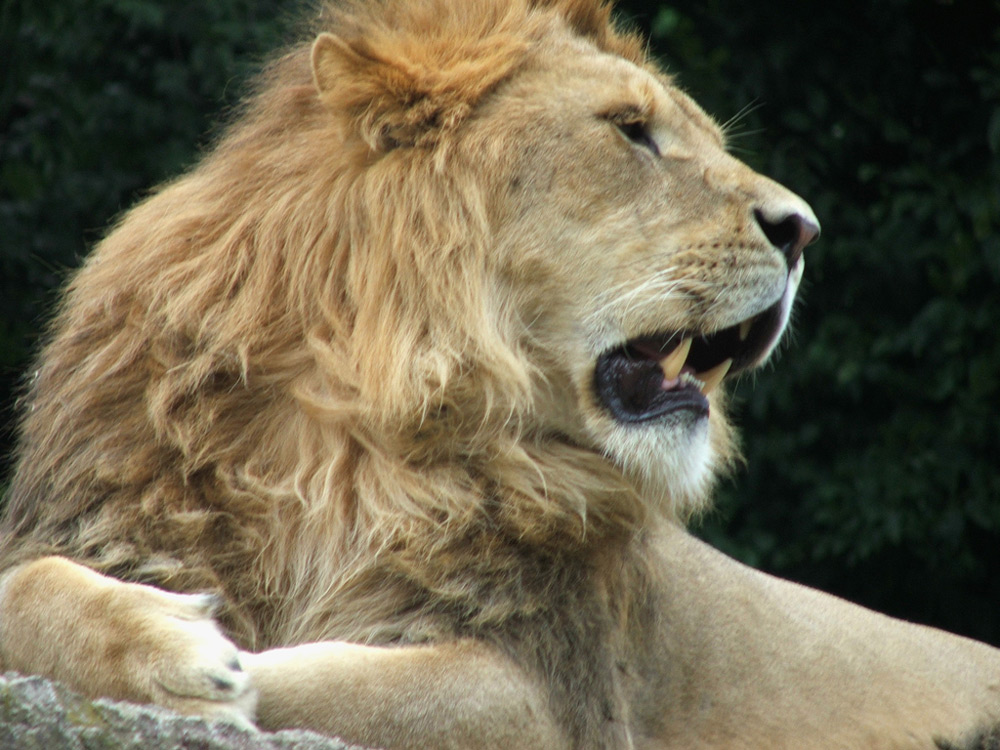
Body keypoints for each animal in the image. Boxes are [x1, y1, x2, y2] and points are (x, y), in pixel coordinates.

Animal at [1, 0, 998, 748]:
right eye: (632, 132)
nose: (804, 230)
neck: (341, 436)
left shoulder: (547, 692)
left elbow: (331, 687)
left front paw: (207, 663)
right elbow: (27, 587)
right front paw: (163, 642)